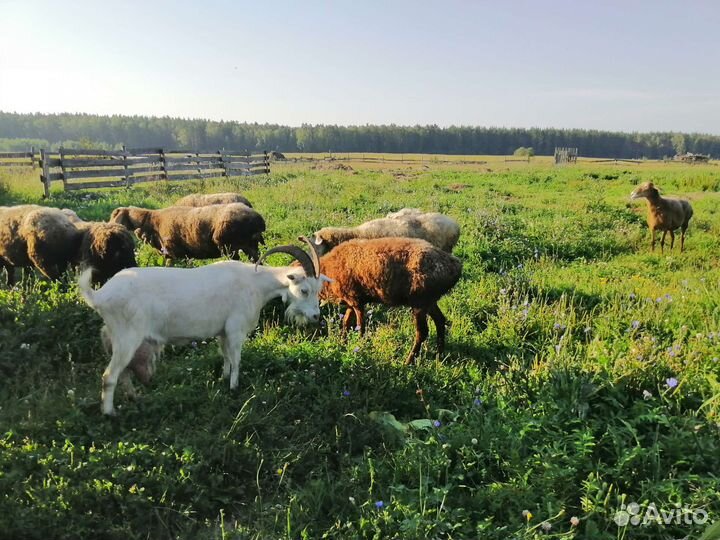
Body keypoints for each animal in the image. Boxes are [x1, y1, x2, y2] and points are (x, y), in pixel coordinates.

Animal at [78, 236, 331, 415]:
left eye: (318, 290)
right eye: (304, 290)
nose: (315, 316)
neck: (255, 283)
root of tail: (100, 296)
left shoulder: (223, 332)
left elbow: (226, 356)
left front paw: (223, 379)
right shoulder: (236, 329)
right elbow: (236, 359)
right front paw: (234, 388)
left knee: (124, 373)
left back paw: (133, 398)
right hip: (127, 337)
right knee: (110, 375)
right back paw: (110, 413)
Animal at [110, 203, 266, 263]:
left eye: (115, 215)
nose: (109, 226)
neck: (152, 221)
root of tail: (257, 219)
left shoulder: (172, 252)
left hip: (229, 247)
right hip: (250, 246)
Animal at [317, 237, 462, 365]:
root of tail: (455, 265)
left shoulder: (356, 301)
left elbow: (360, 326)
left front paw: (360, 346)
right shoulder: (350, 301)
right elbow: (346, 323)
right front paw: (342, 343)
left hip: (420, 302)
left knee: (423, 332)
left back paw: (408, 361)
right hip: (430, 302)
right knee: (440, 321)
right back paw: (440, 356)